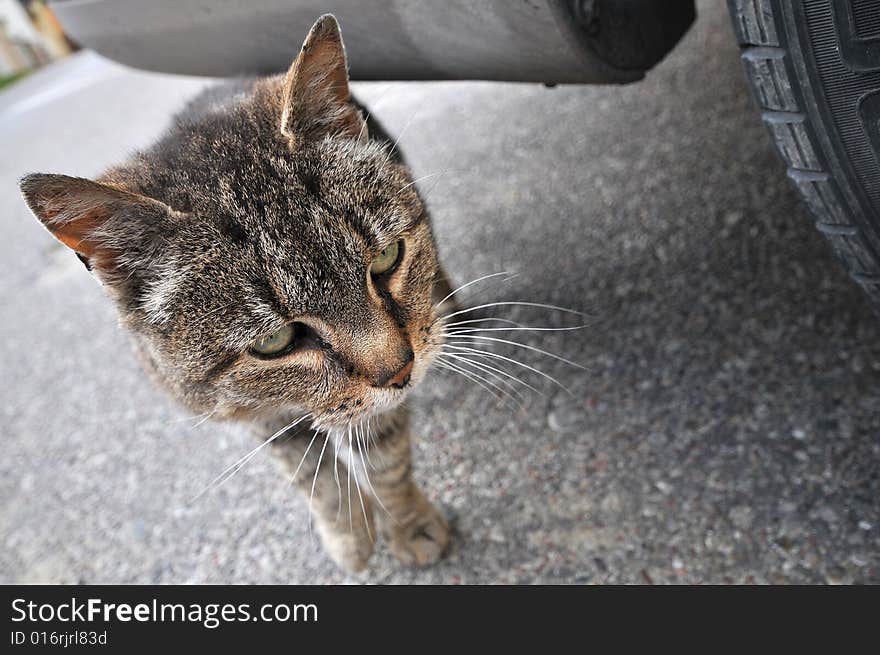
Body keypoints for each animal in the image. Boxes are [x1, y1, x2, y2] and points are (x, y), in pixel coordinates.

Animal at [20, 15, 458, 576]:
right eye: (274, 342)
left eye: (386, 259)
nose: (401, 371)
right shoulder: (257, 414)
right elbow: (315, 477)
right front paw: (349, 534)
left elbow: (384, 458)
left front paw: (409, 525)